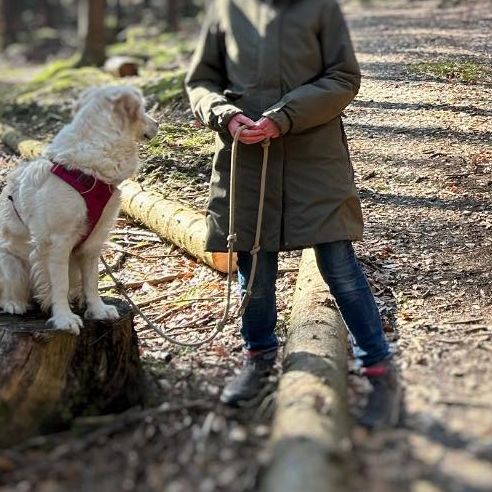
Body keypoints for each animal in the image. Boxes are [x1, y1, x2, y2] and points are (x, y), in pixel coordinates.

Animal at [0, 86, 159, 336]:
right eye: (143, 109)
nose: (158, 123)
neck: (88, 172)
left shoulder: (93, 242)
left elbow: (92, 281)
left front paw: (98, 309)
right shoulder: (57, 242)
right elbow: (59, 284)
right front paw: (65, 319)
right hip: (9, 262)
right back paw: (14, 304)